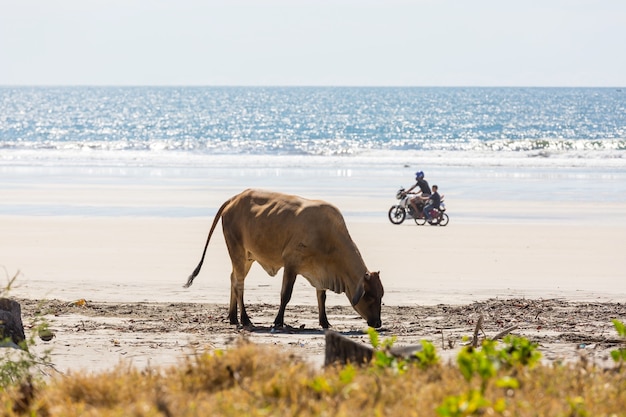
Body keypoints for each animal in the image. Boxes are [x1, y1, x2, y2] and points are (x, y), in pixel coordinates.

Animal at [183, 188, 382, 328]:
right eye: (370, 296)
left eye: (381, 295)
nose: (378, 323)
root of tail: (234, 198)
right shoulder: (291, 264)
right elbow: (285, 295)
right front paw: (278, 321)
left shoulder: (320, 271)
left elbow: (321, 297)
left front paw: (325, 322)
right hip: (237, 251)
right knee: (239, 283)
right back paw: (245, 319)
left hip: (247, 257)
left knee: (233, 278)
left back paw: (232, 317)